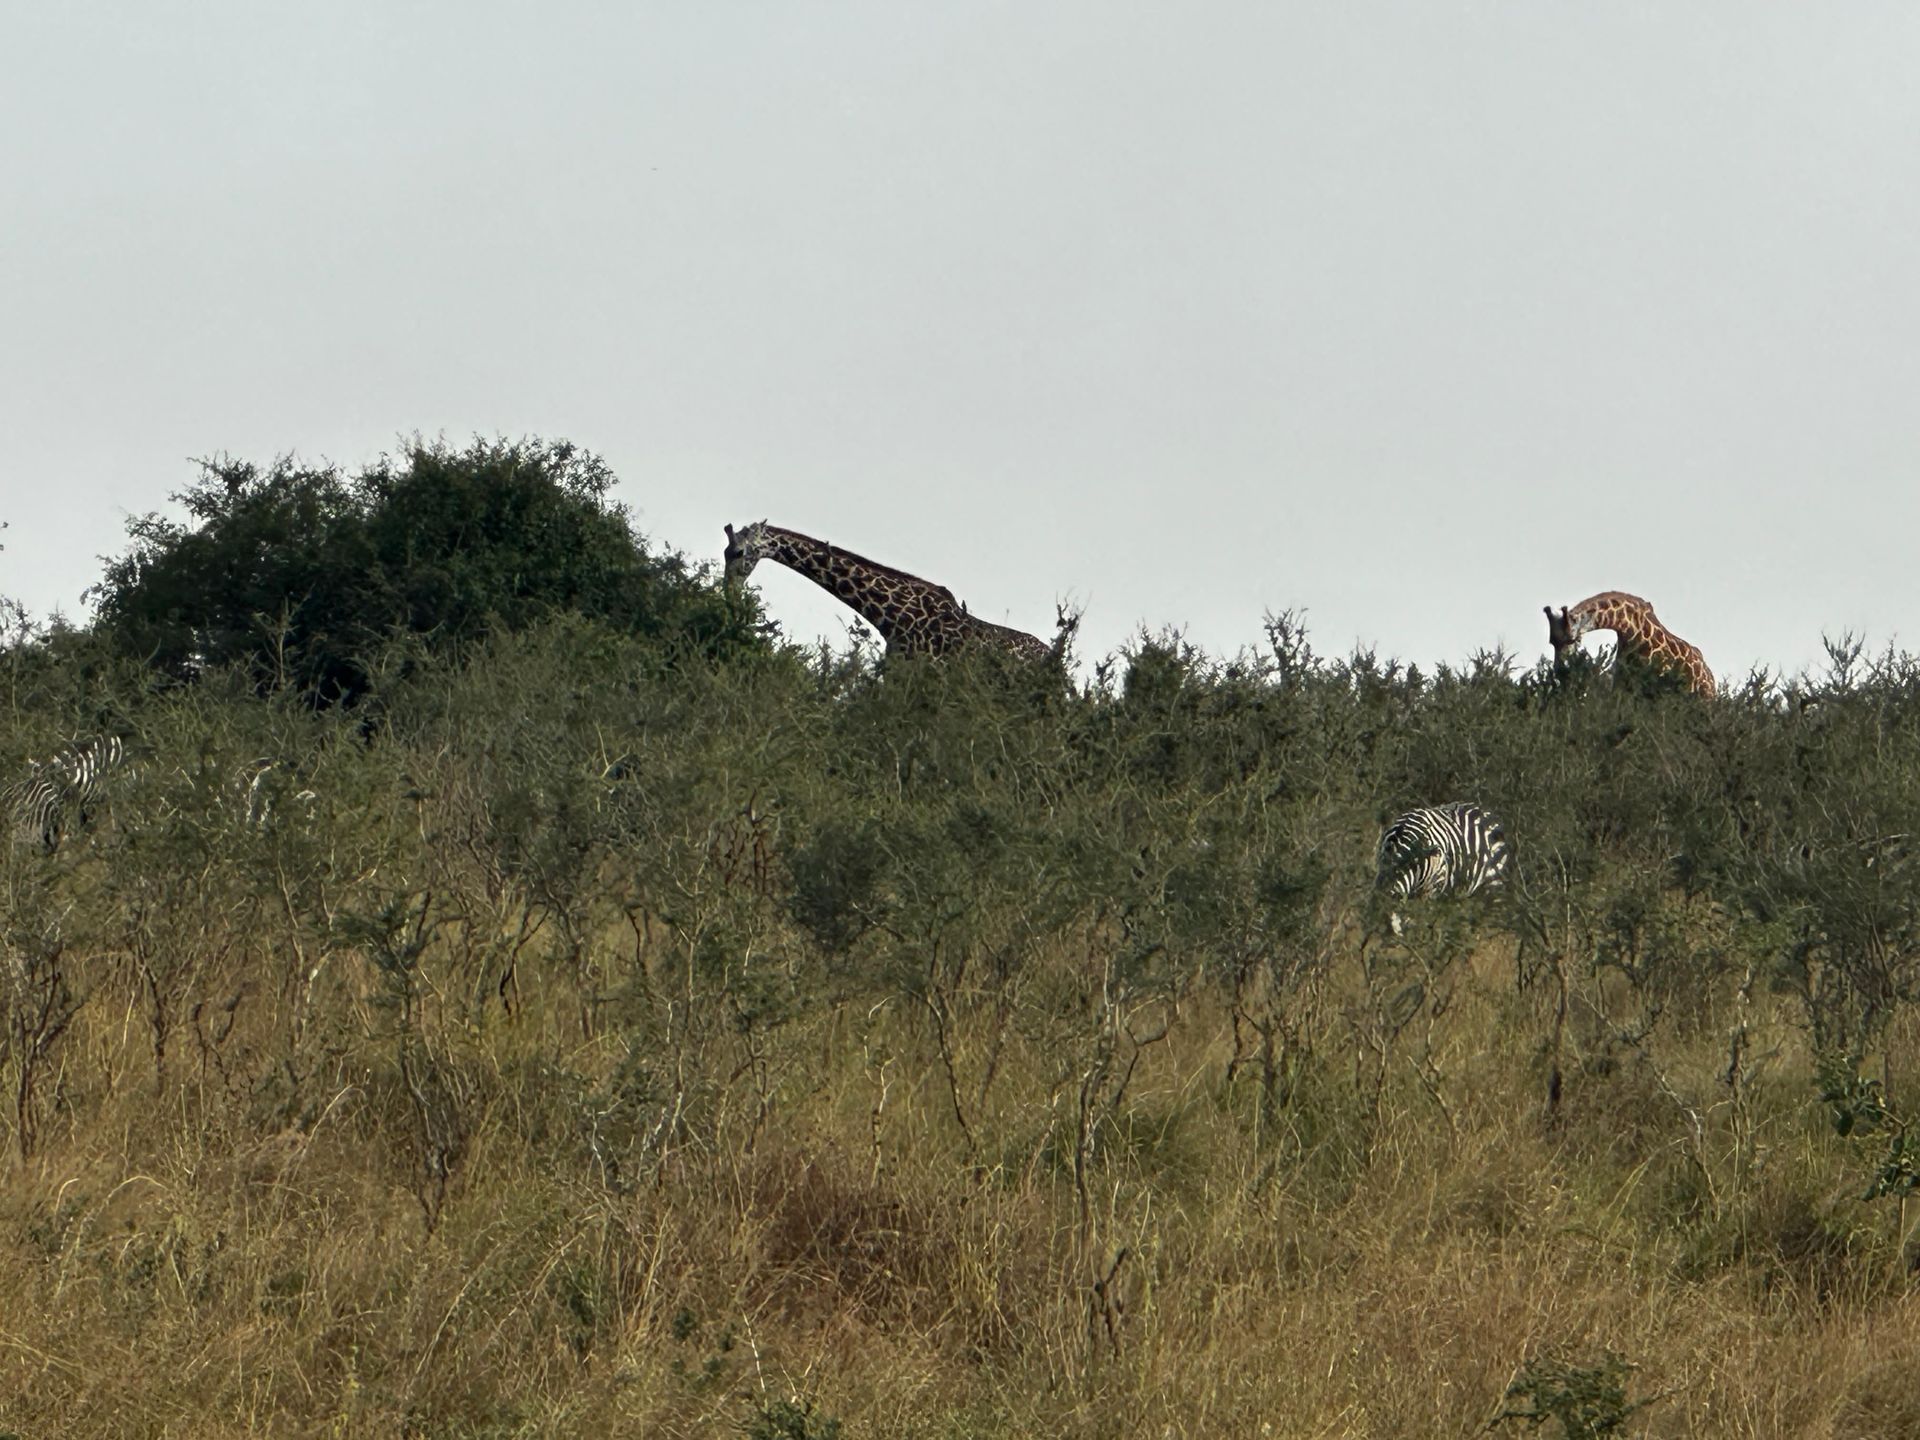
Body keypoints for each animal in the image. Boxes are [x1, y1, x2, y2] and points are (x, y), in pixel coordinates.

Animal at [1544, 591, 1716, 697]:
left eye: (1573, 640)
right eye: (1552, 642)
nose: (1560, 671)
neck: (1631, 631)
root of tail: (1711, 679)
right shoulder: (1622, 688)